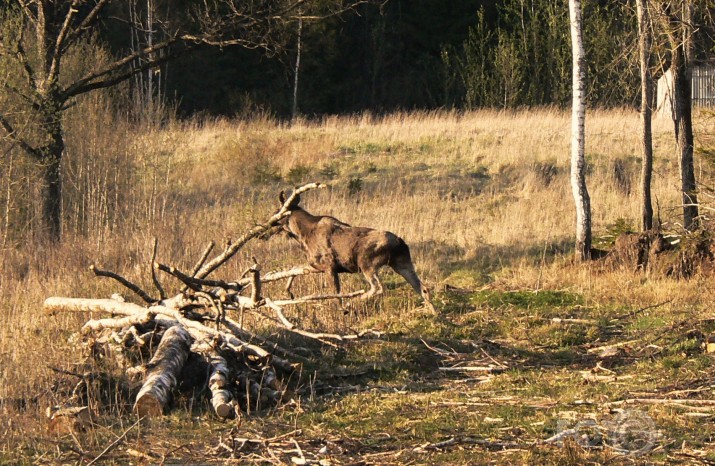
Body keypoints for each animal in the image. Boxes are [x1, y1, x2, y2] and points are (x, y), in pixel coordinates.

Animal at [276, 191, 434, 312]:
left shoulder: (329, 266)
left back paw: (352, 302)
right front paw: (288, 291)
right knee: (423, 288)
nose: (272, 223)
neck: (302, 235)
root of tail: (399, 242)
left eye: (278, 211)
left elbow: (336, 293)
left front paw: (340, 310)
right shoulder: (316, 266)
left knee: (378, 287)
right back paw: (432, 312)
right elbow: (294, 269)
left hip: (366, 263)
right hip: (401, 264)